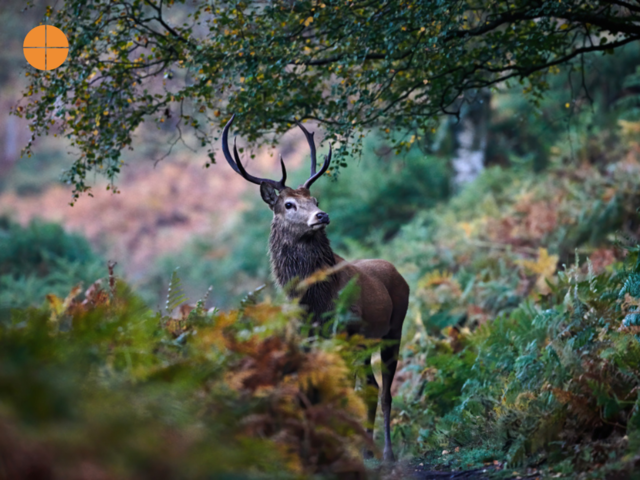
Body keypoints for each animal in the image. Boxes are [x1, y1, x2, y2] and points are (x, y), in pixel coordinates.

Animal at [221, 115, 409, 462]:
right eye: (289, 204)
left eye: (316, 200)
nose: (322, 215)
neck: (315, 300)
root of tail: (398, 274)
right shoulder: (308, 338)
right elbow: (314, 393)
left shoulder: (345, 331)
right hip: (365, 343)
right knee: (372, 387)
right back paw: (368, 450)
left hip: (393, 329)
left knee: (384, 391)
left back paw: (386, 453)